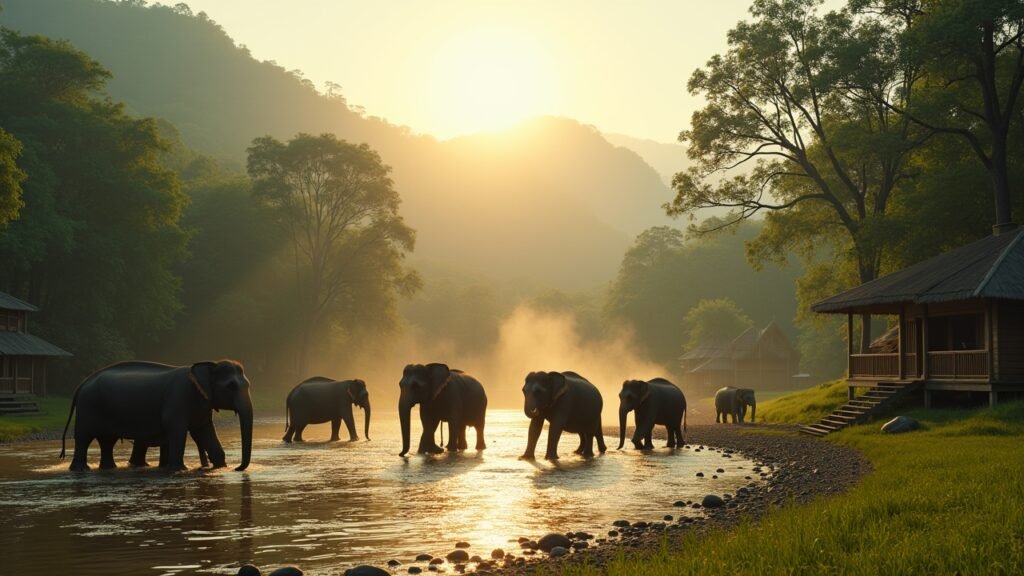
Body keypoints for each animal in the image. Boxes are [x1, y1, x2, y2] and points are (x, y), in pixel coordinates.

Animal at [60, 360, 253, 471]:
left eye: (248, 385)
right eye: (231, 386)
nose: (237, 468)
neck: (208, 365)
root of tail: (82, 383)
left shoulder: (201, 405)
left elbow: (203, 432)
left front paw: (220, 466)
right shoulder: (177, 398)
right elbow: (177, 431)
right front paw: (178, 469)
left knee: (107, 441)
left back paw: (108, 468)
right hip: (88, 408)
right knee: (84, 438)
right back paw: (80, 470)